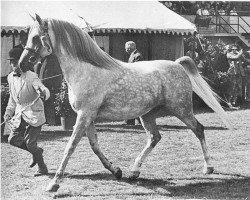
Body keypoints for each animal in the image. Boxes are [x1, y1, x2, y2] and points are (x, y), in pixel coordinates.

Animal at [18, 14, 231, 192]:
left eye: (36, 37)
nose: (22, 64)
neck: (86, 70)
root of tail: (177, 64)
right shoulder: (88, 117)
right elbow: (95, 146)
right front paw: (116, 171)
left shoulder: (84, 115)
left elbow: (70, 147)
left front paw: (54, 183)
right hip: (148, 114)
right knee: (154, 138)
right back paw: (134, 172)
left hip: (181, 109)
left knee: (199, 129)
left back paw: (208, 167)